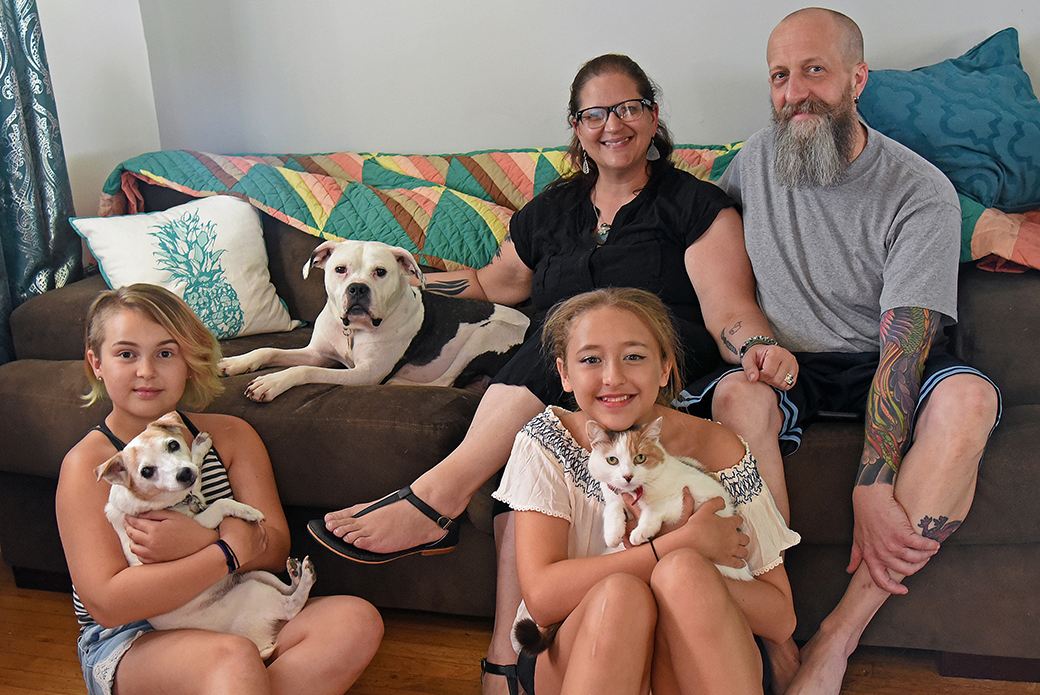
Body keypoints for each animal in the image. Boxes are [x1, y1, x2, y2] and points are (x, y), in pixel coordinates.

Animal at [99, 412, 314, 657]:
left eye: (172, 445)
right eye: (146, 472)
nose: (184, 474)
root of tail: (259, 644)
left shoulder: (194, 490)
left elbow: (197, 472)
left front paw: (199, 446)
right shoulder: (197, 522)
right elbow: (220, 503)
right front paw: (247, 511)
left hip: (254, 574)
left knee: (286, 589)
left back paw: (295, 573)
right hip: (254, 590)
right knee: (290, 607)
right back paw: (306, 578)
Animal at [217, 239, 528, 401]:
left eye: (380, 272)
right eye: (340, 269)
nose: (357, 288)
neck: (353, 330)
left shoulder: (363, 373)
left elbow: (304, 371)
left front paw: (271, 382)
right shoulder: (317, 353)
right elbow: (267, 349)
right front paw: (234, 362)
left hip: (488, 332)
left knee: (446, 381)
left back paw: (398, 383)